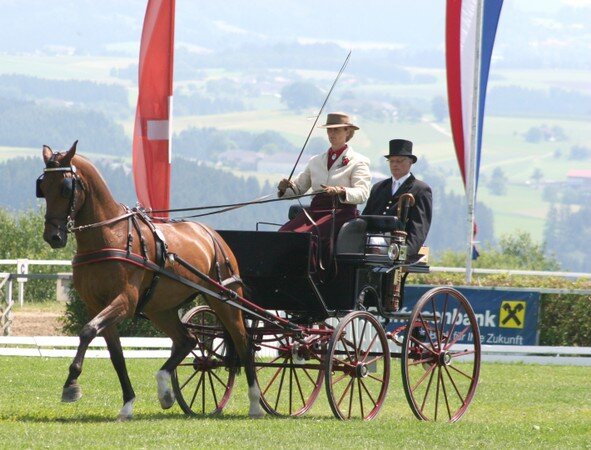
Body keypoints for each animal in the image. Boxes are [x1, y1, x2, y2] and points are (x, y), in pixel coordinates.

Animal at [36, 142, 264, 420]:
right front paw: (127, 404)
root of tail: (212, 235)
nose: (53, 237)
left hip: (225, 301)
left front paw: (71, 385)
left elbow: (88, 330)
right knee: (188, 340)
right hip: (161, 309)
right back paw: (165, 390)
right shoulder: (96, 305)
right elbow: (116, 355)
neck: (110, 235)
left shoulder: (124, 301)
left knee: (243, 344)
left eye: (65, 187)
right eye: (43, 186)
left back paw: (255, 404)